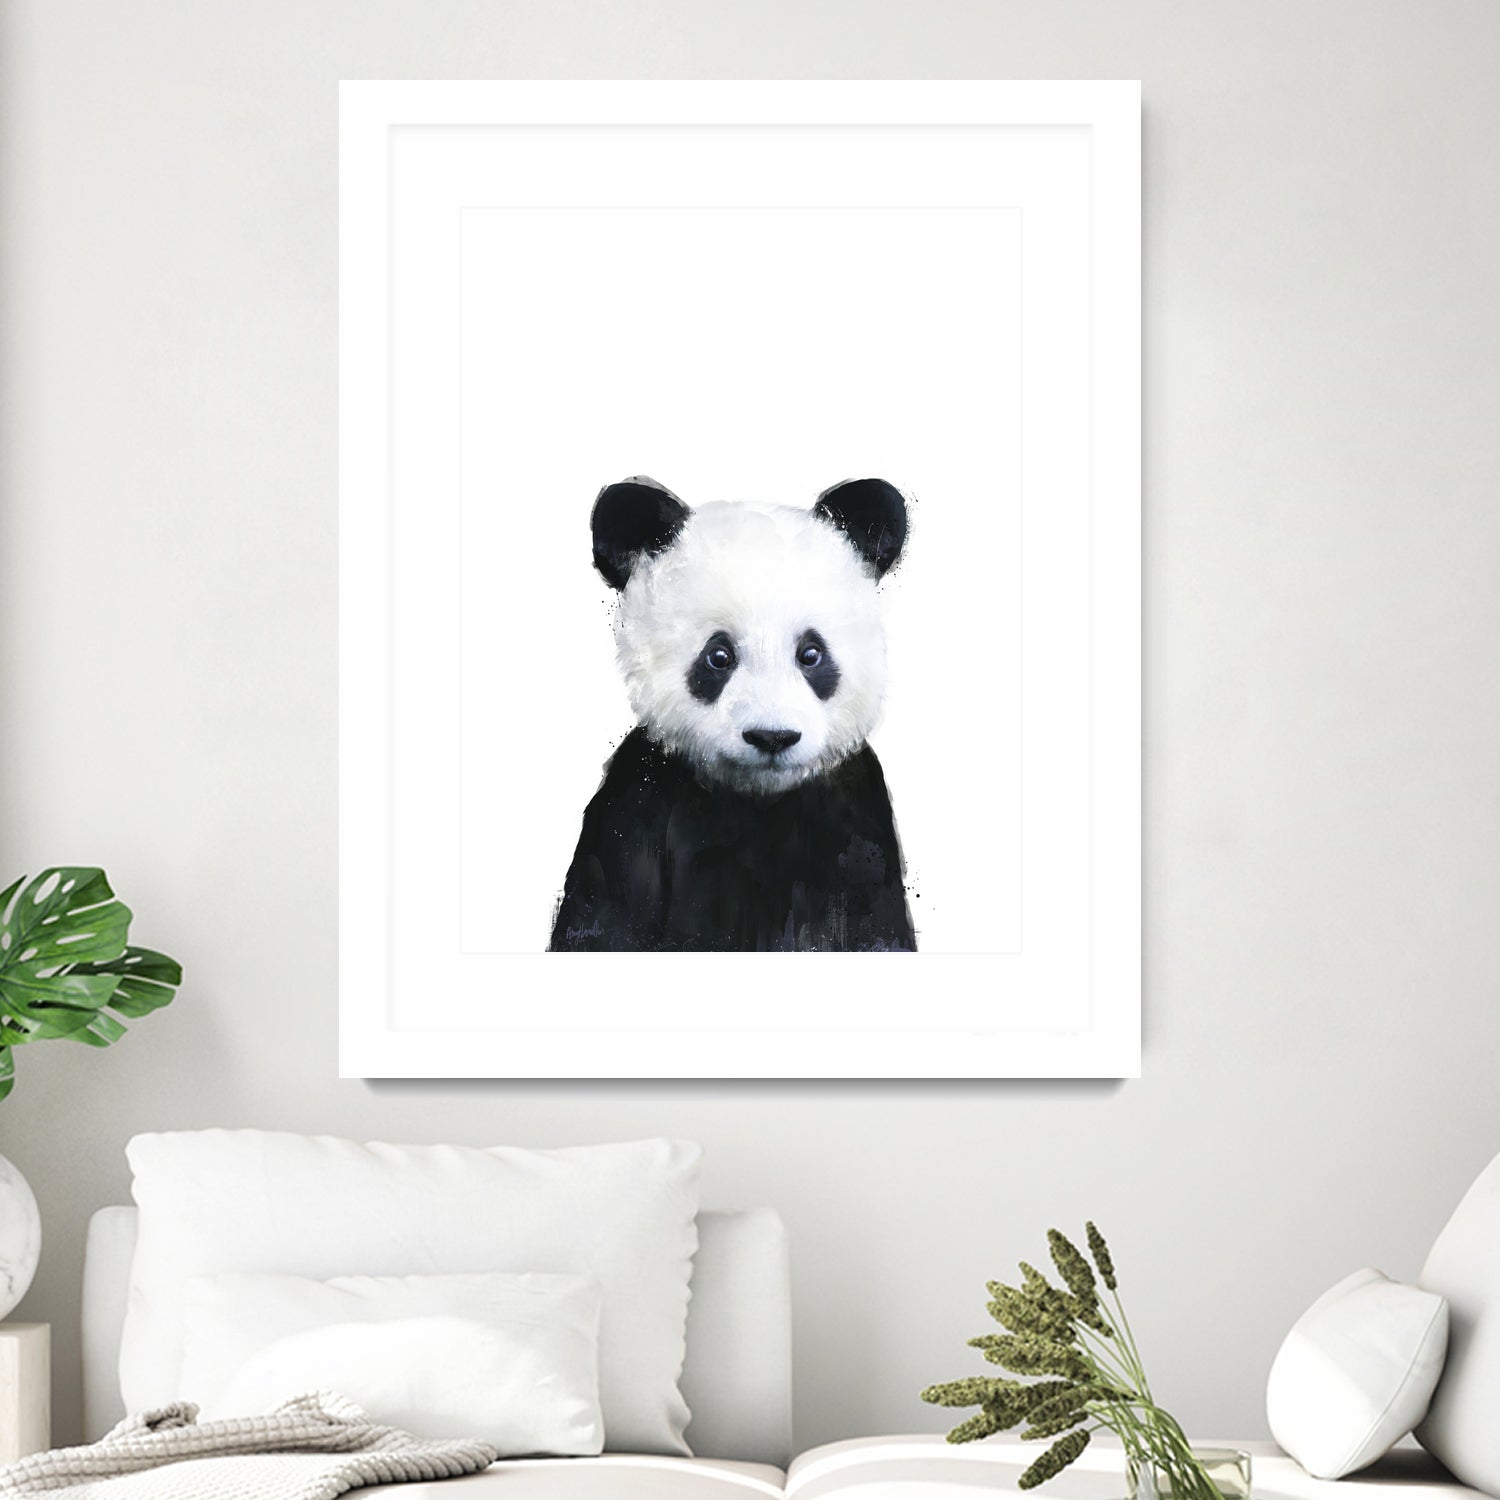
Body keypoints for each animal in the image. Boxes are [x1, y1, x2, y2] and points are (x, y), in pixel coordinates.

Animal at [548, 475, 916, 953]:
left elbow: (875, 925)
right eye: (718, 656)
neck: (757, 798)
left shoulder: (855, 818)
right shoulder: (637, 804)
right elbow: (605, 916)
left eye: (811, 654)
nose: (772, 737)